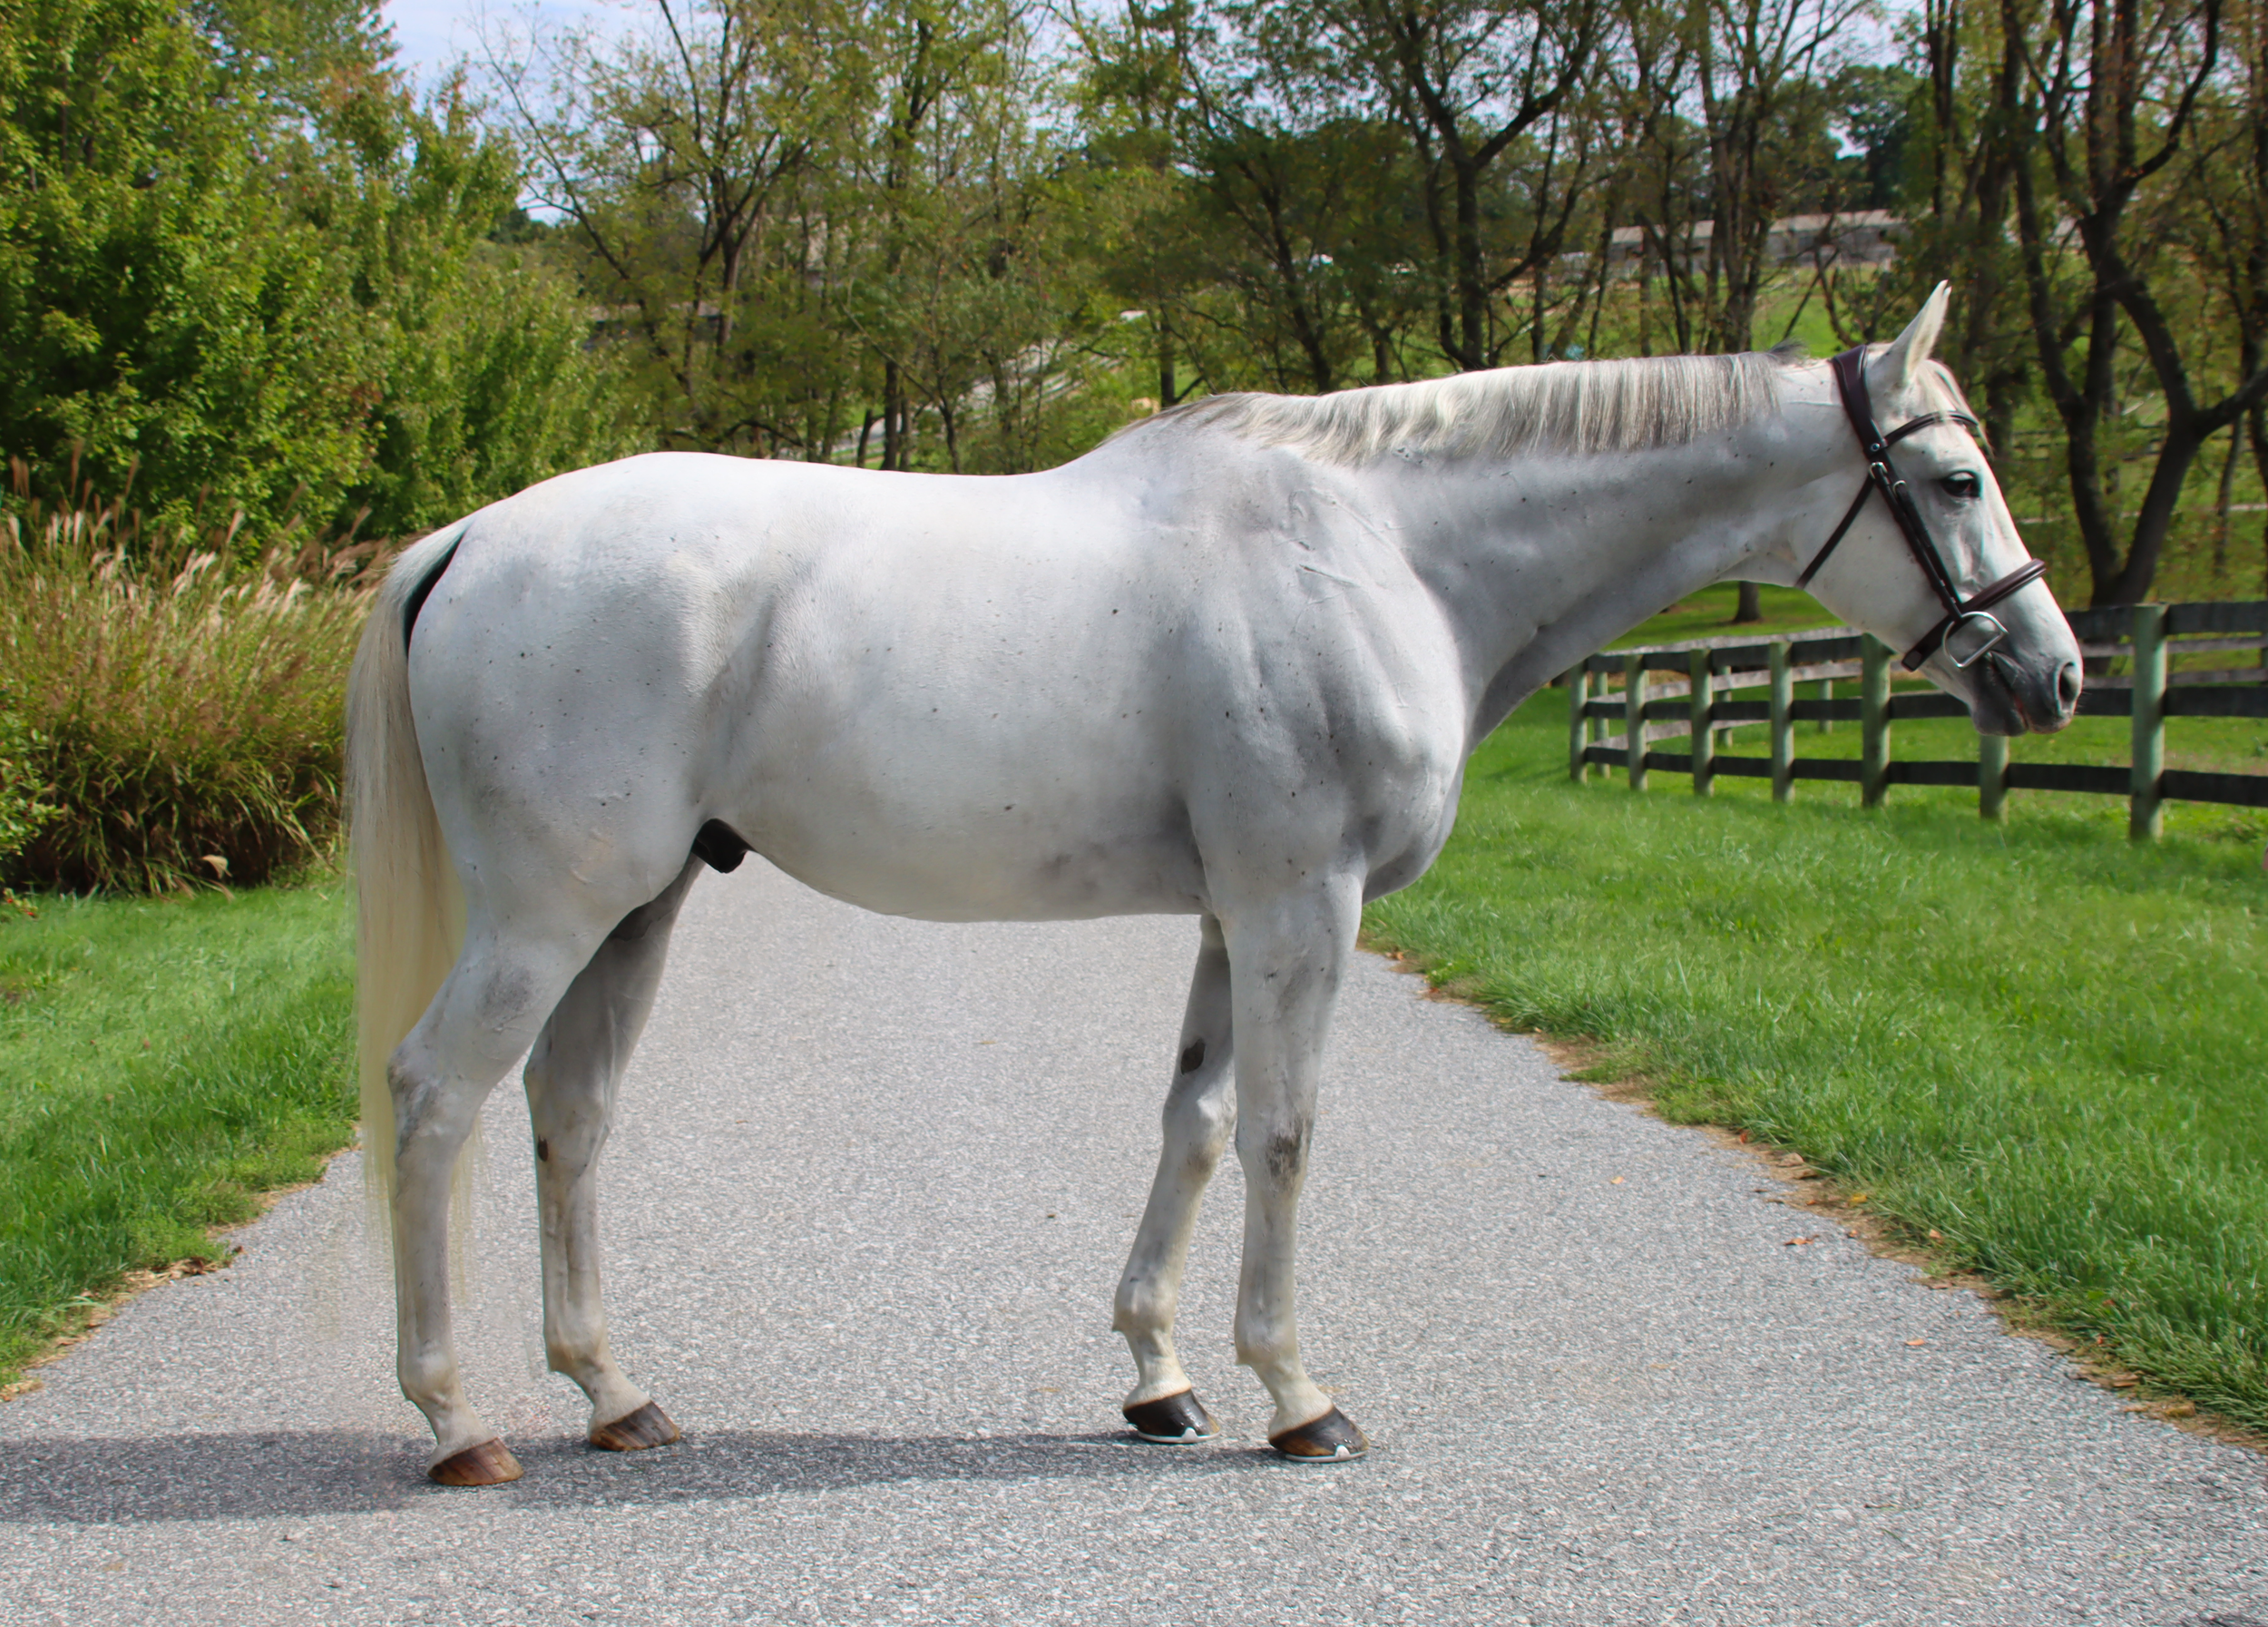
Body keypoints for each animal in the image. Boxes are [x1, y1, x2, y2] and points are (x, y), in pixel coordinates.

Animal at [348, 285, 2081, 1485]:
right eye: (1955, 477)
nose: (2053, 672)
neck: (1385, 547)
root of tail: (472, 538)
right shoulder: (1306, 903)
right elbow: (1283, 1135)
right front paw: (1298, 1396)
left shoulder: (1227, 912)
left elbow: (1191, 1121)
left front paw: (1160, 1377)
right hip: (551, 915)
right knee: (435, 1096)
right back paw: (451, 1418)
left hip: (638, 910)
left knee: (569, 1114)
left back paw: (615, 1393)